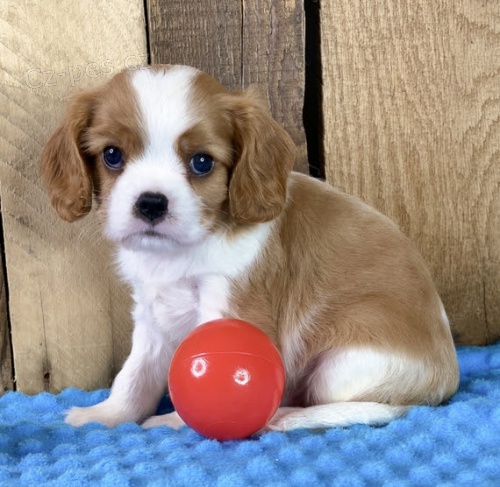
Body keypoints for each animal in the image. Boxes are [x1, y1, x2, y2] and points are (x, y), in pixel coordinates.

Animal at [41, 63, 458, 430]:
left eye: (202, 162)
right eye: (112, 155)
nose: (151, 203)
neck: (180, 252)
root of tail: (446, 379)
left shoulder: (230, 300)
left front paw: (180, 421)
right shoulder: (151, 314)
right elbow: (135, 374)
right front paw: (106, 416)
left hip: (344, 364)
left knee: (385, 406)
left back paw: (288, 415)